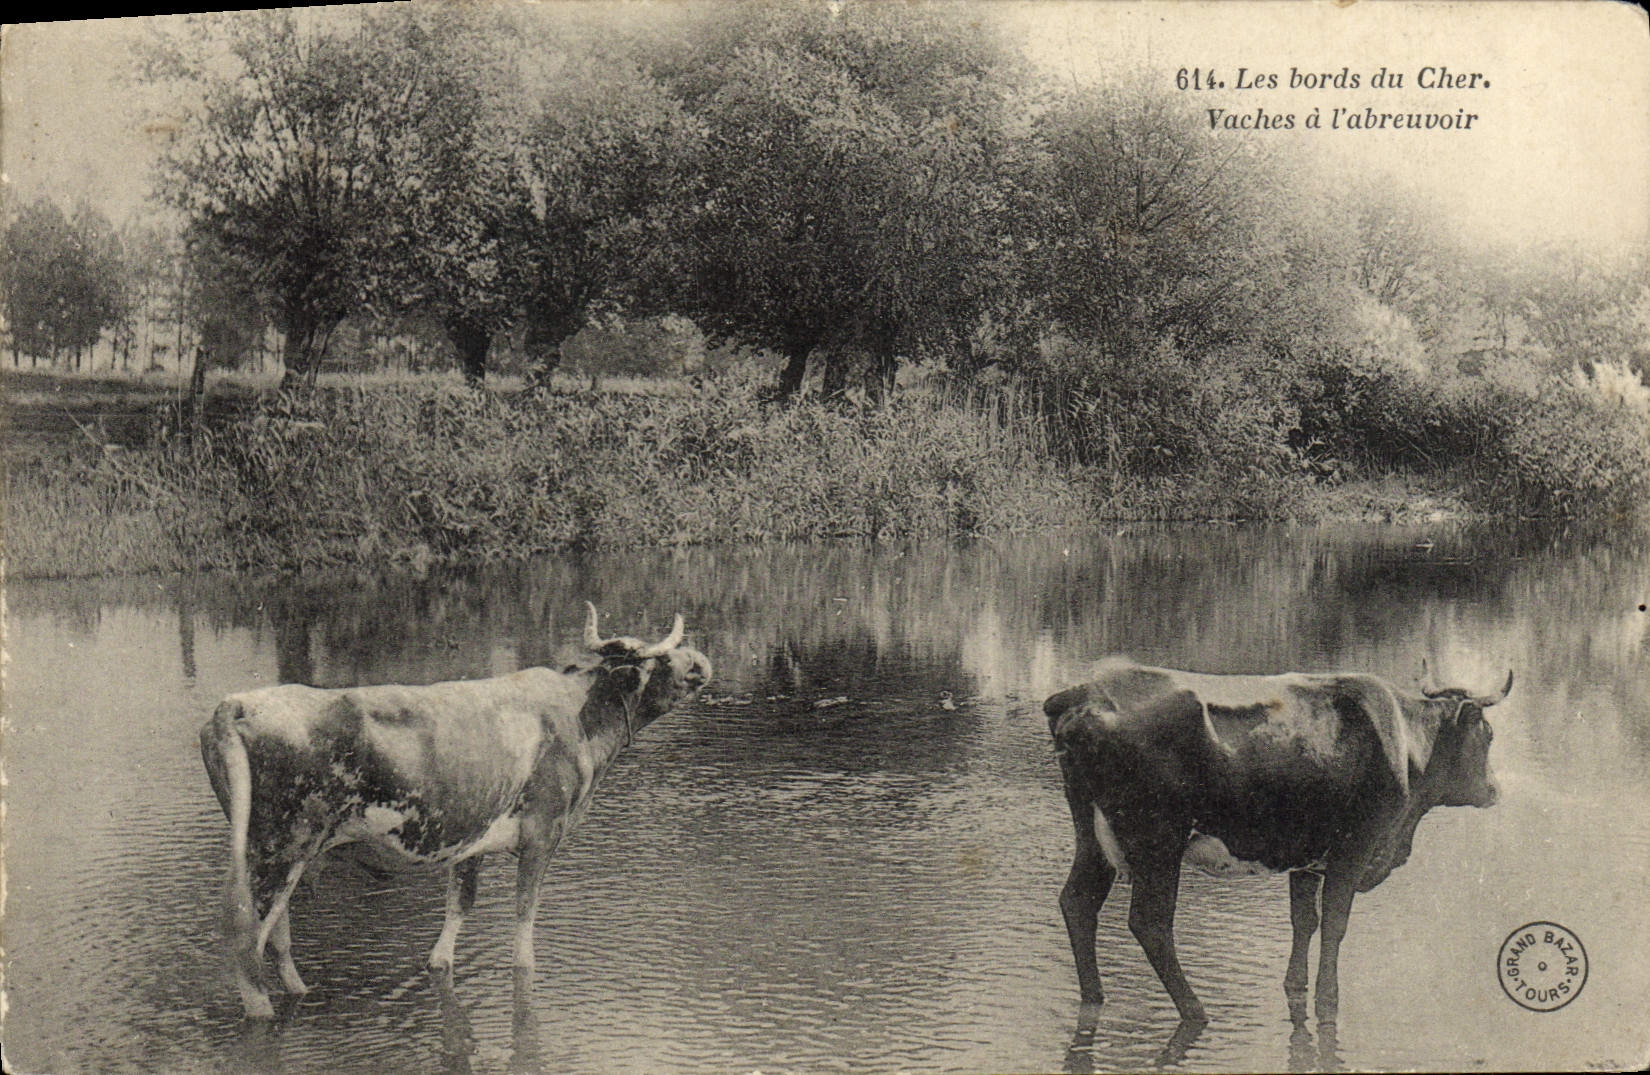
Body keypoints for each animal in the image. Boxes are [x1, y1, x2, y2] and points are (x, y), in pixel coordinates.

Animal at [199, 603, 712, 1019]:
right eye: (663, 658)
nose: (702, 662)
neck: (579, 715)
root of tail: (237, 702)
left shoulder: (472, 840)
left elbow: (458, 910)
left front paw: (439, 963)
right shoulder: (542, 834)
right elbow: (524, 925)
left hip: (279, 856)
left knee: (276, 938)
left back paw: (300, 993)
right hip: (281, 851)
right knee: (245, 947)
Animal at [1045, 658, 1509, 1026]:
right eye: (1487, 733)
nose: (1494, 790)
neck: (1406, 741)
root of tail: (1084, 692)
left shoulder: (1307, 857)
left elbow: (1305, 920)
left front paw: (1295, 985)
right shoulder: (1354, 848)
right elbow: (1335, 923)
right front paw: (1328, 997)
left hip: (1093, 838)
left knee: (1078, 903)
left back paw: (1095, 997)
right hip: (1157, 841)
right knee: (1151, 924)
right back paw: (1195, 1010)